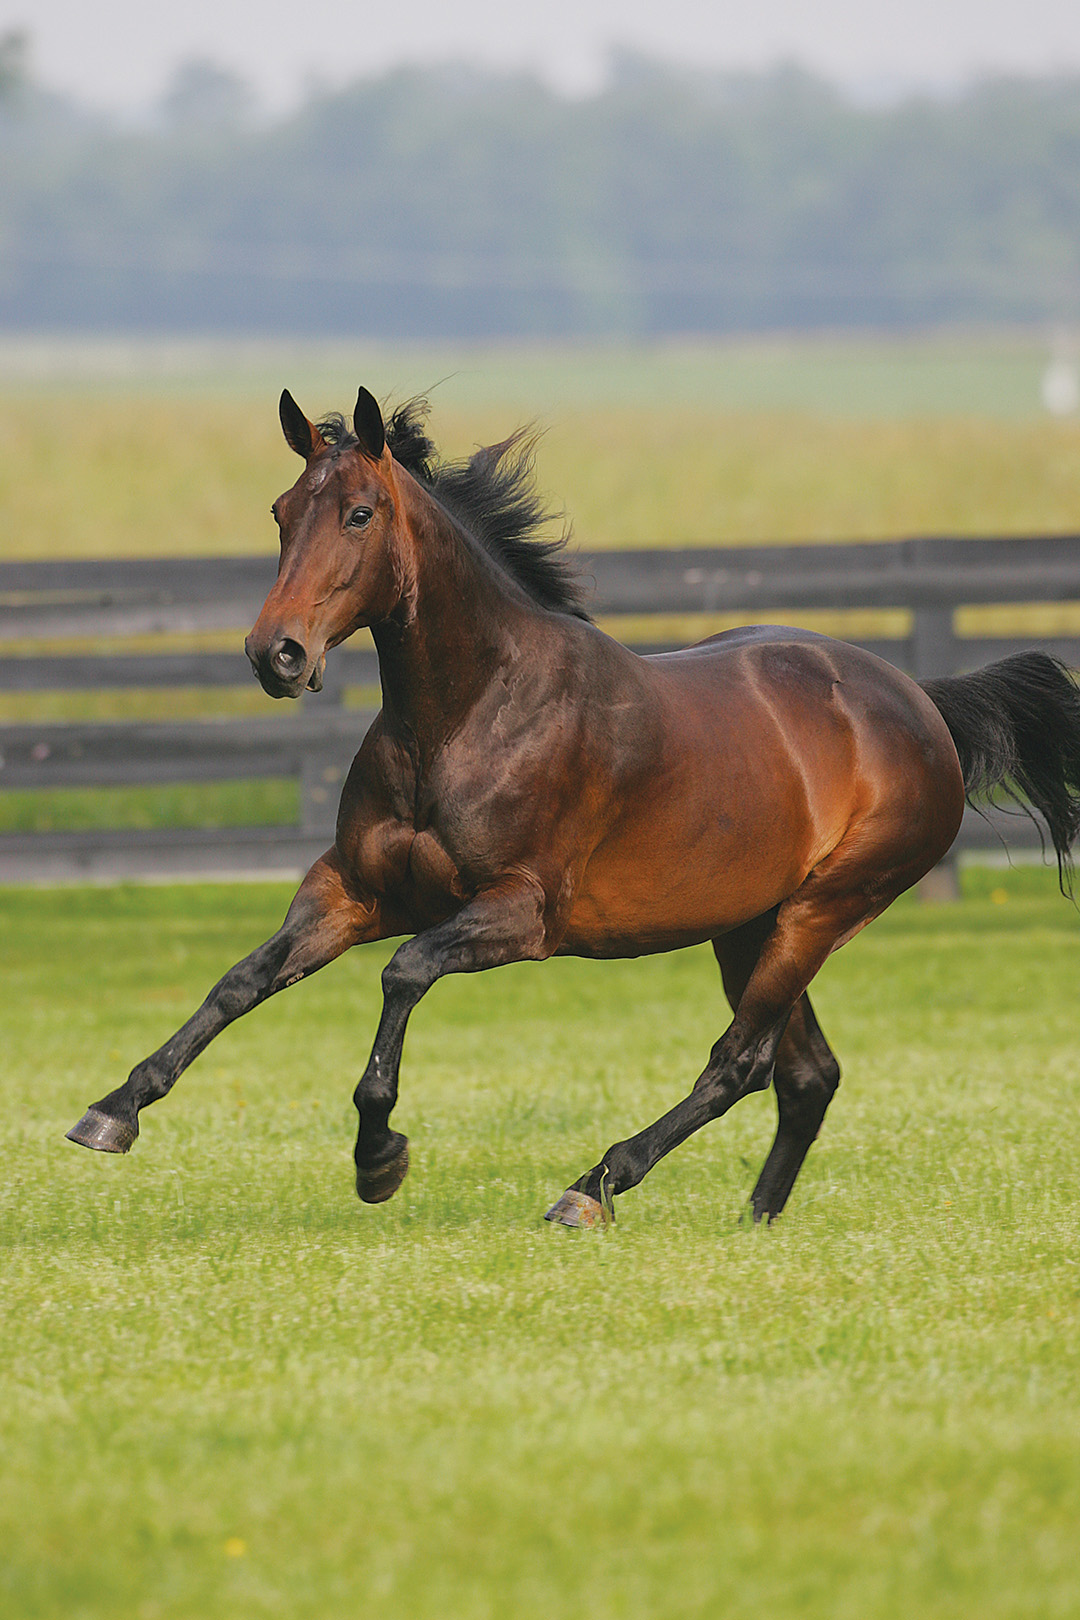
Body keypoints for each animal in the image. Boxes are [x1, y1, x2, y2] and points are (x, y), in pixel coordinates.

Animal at [65, 388, 1080, 1224]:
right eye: (280, 512)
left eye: (359, 512)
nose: (274, 654)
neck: (469, 713)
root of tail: (921, 702)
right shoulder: (352, 889)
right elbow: (243, 979)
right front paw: (112, 1110)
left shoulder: (520, 915)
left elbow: (403, 973)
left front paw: (378, 1157)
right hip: (748, 923)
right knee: (806, 1074)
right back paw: (753, 1218)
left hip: (823, 912)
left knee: (741, 1063)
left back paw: (594, 1187)